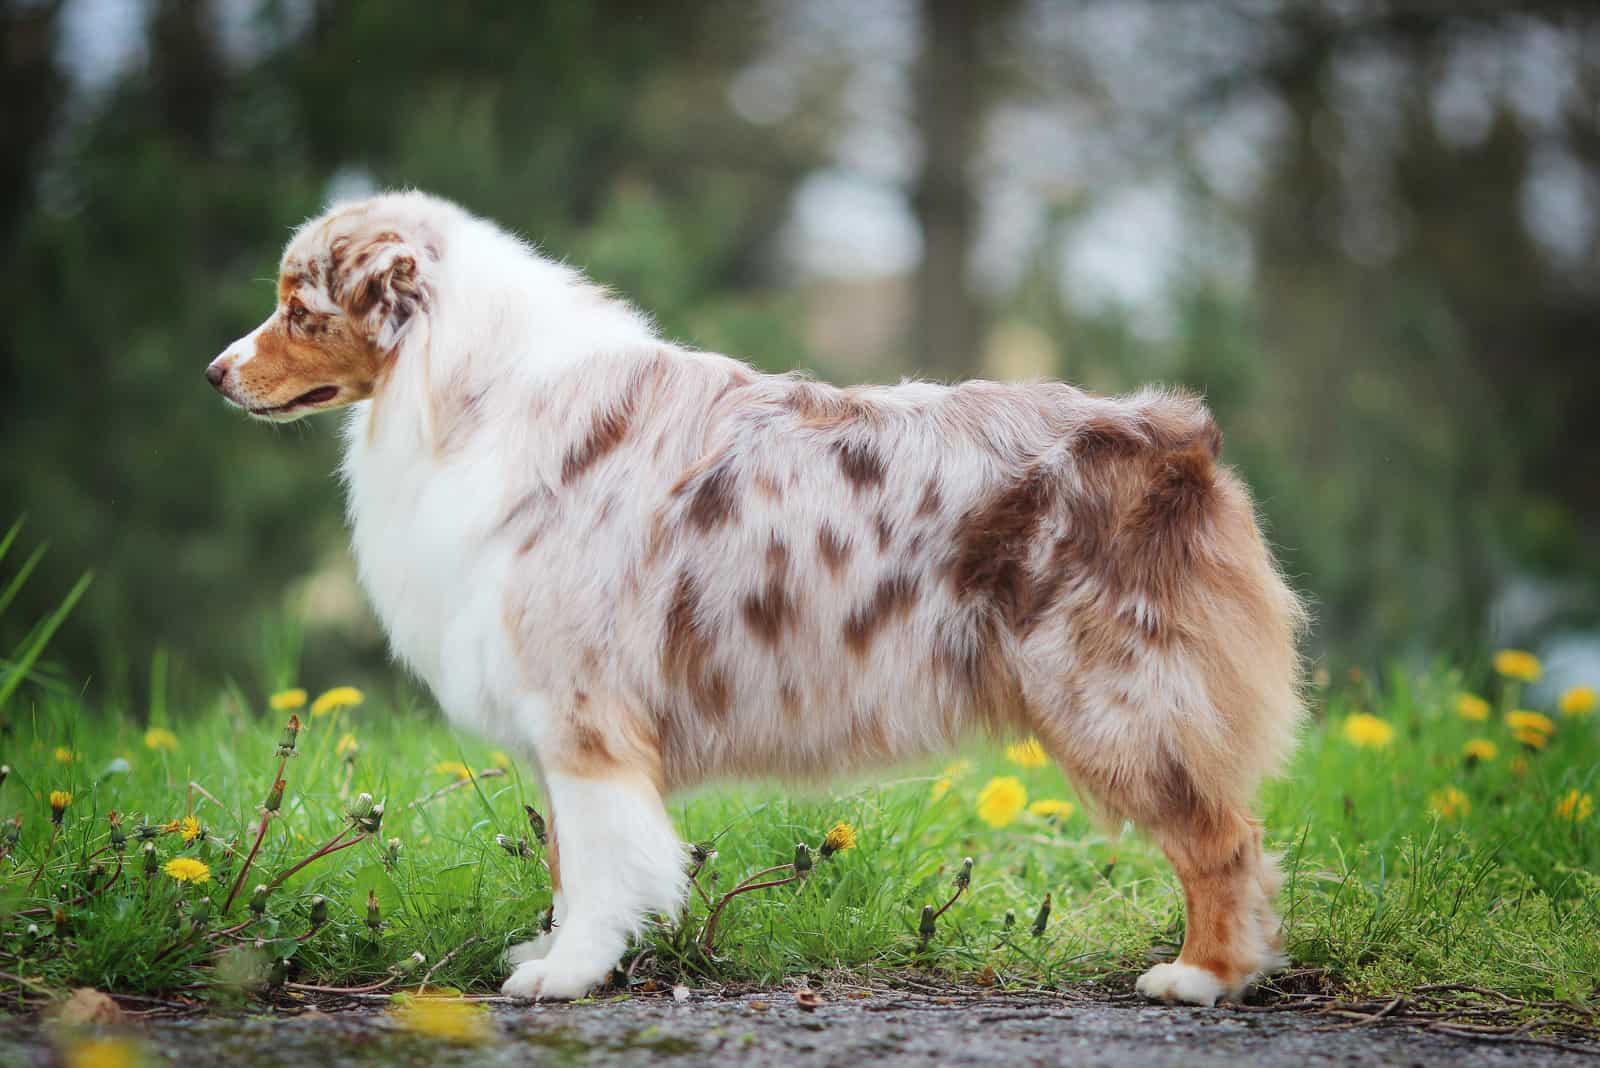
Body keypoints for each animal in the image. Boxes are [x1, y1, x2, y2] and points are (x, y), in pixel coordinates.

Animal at [209, 194, 1299, 1010]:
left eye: (299, 310)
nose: (217, 372)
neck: (469, 392)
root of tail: (1175, 435)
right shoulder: (559, 719)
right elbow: (565, 858)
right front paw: (554, 956)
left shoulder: (582, 711)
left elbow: (597, 864)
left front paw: (570, 974)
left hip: (1114, 693)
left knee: (1222, 839)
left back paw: (1202, 977)